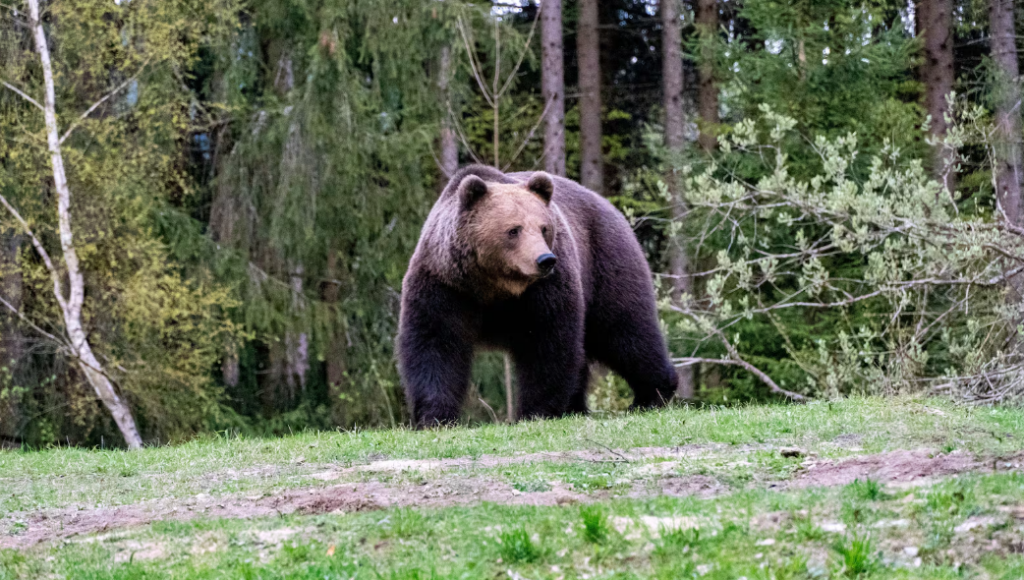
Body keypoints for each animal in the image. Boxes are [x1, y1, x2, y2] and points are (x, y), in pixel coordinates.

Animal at [398, 165, 677, 427]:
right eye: (514, 230)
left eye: (544, 228)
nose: (544, 259)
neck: (493, 285)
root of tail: (608, 205)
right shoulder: (445, 285)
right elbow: (435, 343)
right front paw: (434, 417)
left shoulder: (544, 290)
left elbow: (547, 344)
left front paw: (536, 411)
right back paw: (578, 407)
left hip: (605, 264)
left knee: (625, 332)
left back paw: (652, 395)